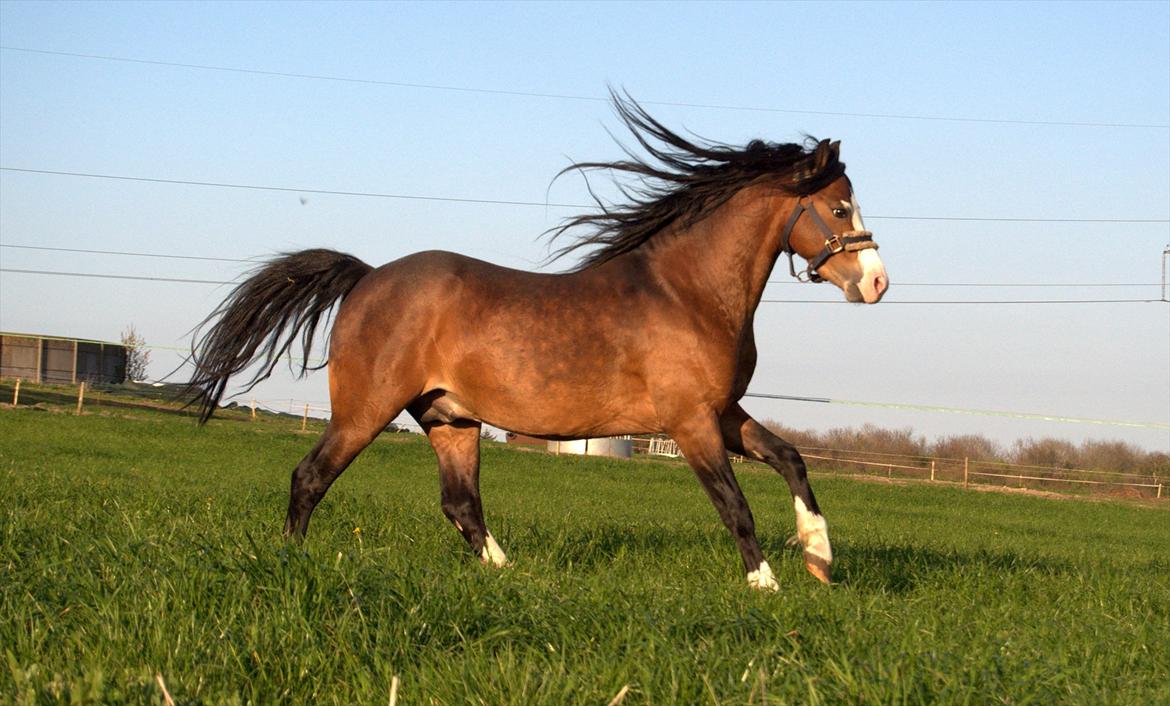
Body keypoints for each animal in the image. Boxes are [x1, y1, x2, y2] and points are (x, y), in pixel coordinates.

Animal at [187, 95, 884, 590]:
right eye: (840, 208)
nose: (876, 282)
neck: (687, 292)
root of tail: (367, 277)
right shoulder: (690, 422)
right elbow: (733, 503)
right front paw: (766, 583)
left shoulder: (723, 412)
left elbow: (791, 458)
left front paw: (820, 557)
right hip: (365, 410)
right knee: (311, 477)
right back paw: (290, 559)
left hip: (450, 420)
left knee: (460, 503)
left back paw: (509, 571)